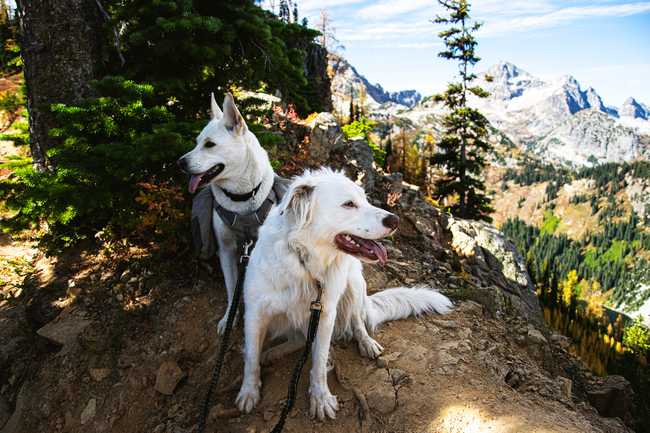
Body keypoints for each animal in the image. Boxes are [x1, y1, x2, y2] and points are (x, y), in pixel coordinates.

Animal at [234, 166, 450, 418]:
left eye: (365, 200)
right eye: (349, 204)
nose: (394, 220)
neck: (305, 264)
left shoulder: (325, 313)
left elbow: (318, 361)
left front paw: (321, 398)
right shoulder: (255, 314)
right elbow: (251, 358)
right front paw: (249, 392)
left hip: (354, 284)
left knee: (356, 322)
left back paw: (366, 343)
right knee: (297, 338)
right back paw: (272, 353)